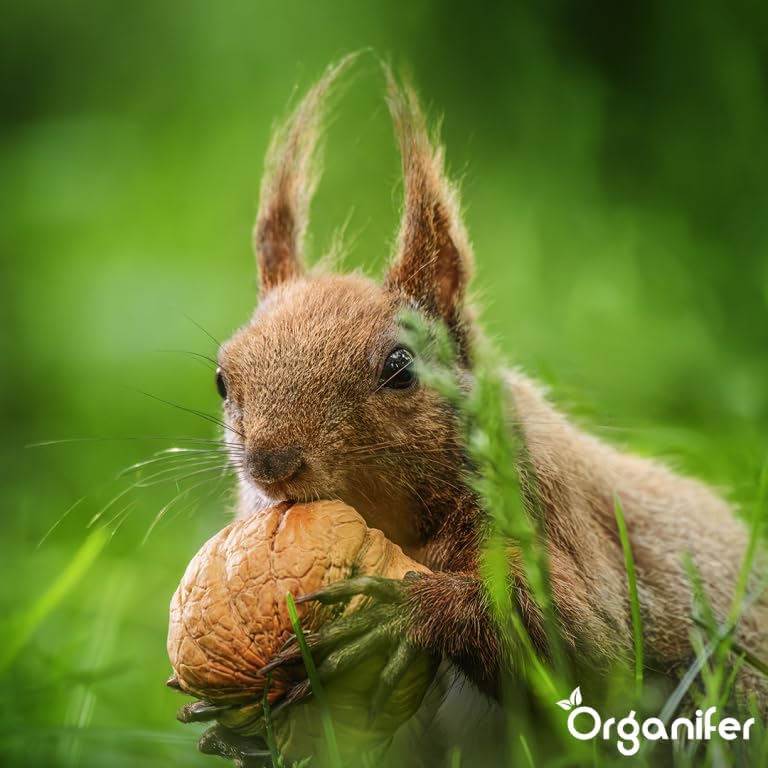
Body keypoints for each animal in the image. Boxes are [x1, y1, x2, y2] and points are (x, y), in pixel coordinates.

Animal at [213, 57, 767, 750]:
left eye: (400, 368)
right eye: (222, 379)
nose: (271, 463)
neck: (391, 522)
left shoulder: (545, 507)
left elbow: (590, 651)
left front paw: (404, 615)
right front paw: (240, 726)